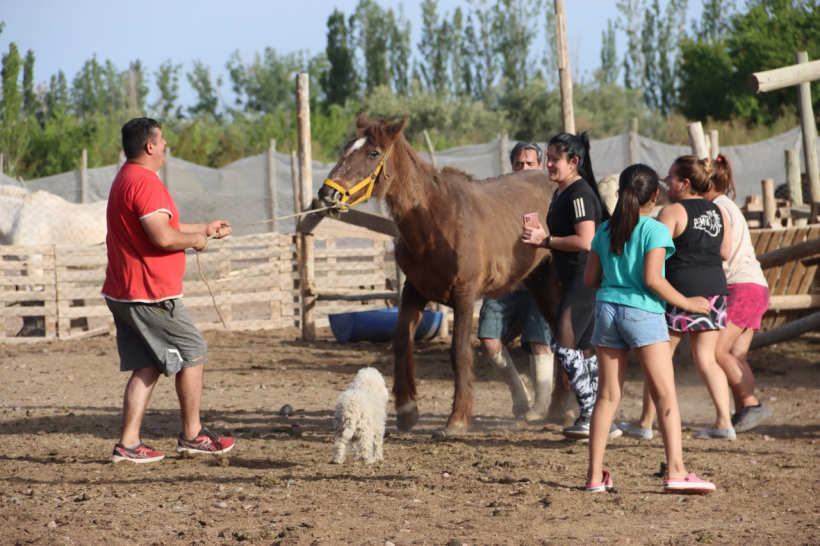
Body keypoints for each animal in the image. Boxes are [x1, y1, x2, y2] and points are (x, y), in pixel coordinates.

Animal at [320, 113, 572, 434]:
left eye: (373, 153)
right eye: (347, 148)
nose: (326, 193)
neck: (435, 223)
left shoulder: (464, 295)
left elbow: (459, 352)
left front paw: (458, 418)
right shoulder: (414, 291)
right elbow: (400, 340)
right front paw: (407, 409)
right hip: (540, 282)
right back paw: (558, 408)